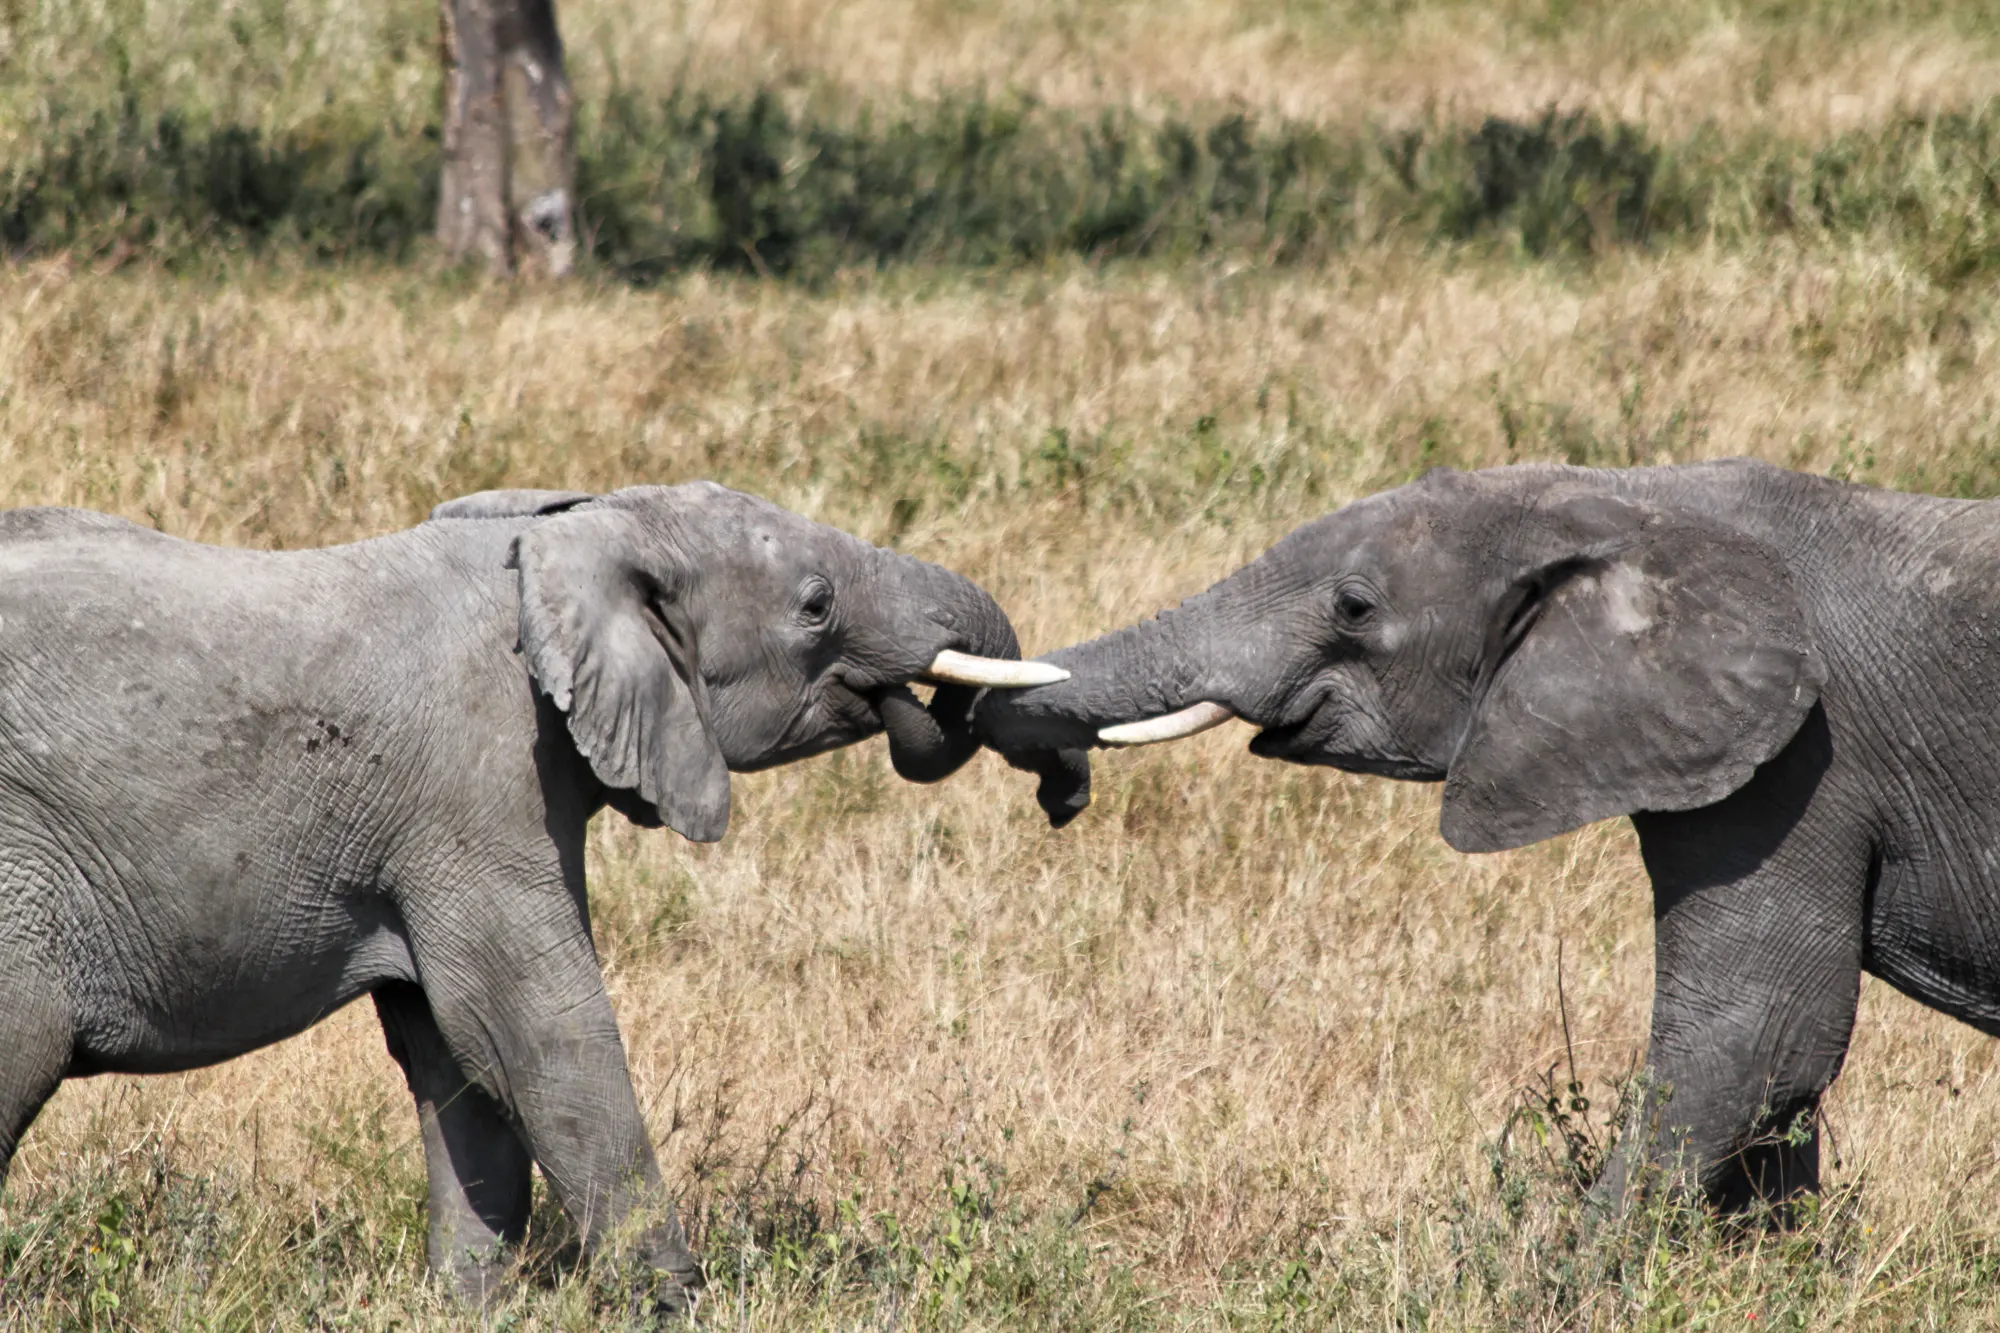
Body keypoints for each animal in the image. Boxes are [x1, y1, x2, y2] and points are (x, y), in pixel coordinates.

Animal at [0, 480, 1080, 1304]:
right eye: (815, 605)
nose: (1060, 795)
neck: (566, 536)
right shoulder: (481, 779)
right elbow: (535, 1030)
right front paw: (673, 1305)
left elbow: (454, 1055)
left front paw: (470, 1305)